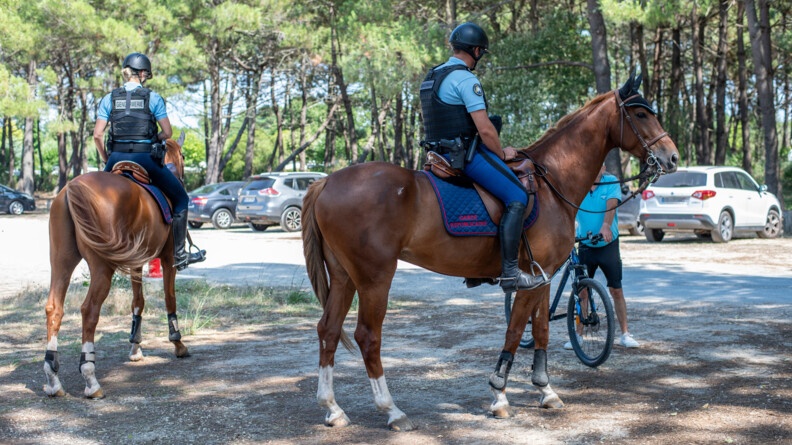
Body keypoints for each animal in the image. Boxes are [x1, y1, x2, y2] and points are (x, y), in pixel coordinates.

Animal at [43, 133, 190, 399]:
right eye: (183, 156)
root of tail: (73, 188)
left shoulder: (136, 262)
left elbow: (138, 302)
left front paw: (135, 348)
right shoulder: (167, 259)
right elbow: (169, 299)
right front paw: (178, 343)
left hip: (61, 262)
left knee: (54, 308)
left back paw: (53, 379)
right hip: (102, 267)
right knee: (89, 310)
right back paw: (91, 379)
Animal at [301, 74, 679, 430]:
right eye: (641, 114)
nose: (672, 157)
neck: (552, 183)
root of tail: (327, 181)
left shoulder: (543, 276)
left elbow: (541, 330)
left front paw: (545, 390)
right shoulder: (531, 278)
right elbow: (515, 331)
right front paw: (499, 394)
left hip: (344, 276)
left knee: (328, 330)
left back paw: (333, 409)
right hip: (375, 278)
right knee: (367, 336)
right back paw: (392, 411)